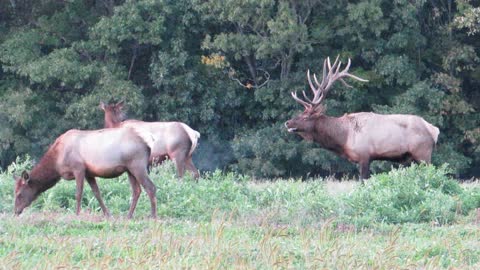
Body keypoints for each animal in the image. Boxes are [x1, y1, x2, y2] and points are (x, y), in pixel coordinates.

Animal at [13, 127, 158, 218]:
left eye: (19, 194)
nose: (16, 211)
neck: (57, 161)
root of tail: (148, 142)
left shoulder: (79, 168)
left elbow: (78, 194)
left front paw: (77, 214)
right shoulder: (89, 173)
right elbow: (97, 193)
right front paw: (108, 214)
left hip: (137, 165)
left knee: (150, 187)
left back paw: (153, 216)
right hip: (129, 169)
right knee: (136, 190)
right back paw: (128, 216)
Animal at [284, 56, 438, 180]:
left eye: (306, 117)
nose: (287, 123)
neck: (344, 137)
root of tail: (434, 130)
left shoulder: (364, 155)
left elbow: (363, 181)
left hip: (423, 153)